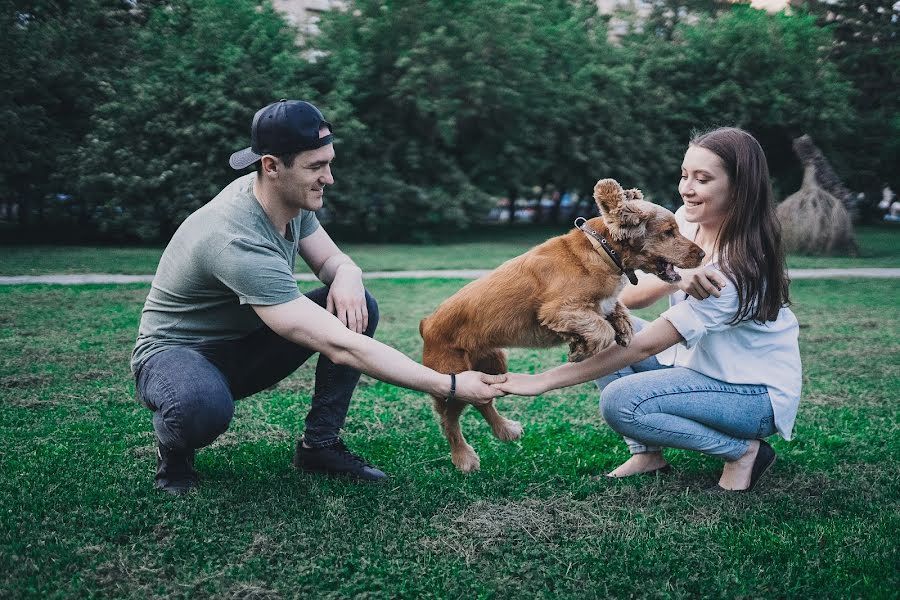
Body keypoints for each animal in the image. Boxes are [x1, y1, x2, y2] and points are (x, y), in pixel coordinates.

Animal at [418, 178, 708, 474]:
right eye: (668, 232)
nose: (703, 254)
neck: (602, 251)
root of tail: (426, 324)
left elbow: (614, 310)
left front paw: (620, 331)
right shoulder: (556, 309)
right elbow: (601, 329)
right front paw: (580, 350)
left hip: (493, 361)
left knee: (483, 400)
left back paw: (505, 429)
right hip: (453, 377)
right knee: (450, 420)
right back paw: (464, 457)